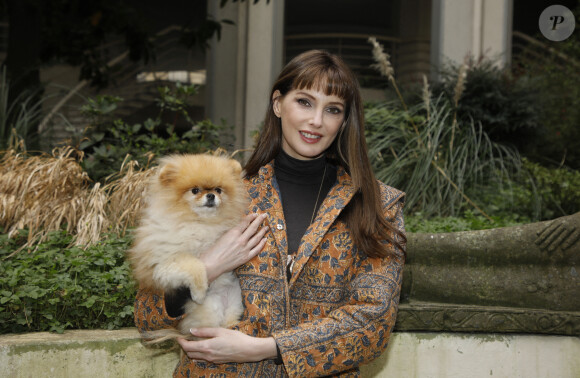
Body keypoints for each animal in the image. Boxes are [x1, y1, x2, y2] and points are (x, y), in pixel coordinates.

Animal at [129, 152, 247, 342]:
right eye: (195, 190)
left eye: (218, 190)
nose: (211, 196)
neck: (200, 222)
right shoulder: (164, 262)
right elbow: (194, 264)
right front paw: (199, 292)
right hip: (209, 310)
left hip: (235, 300)